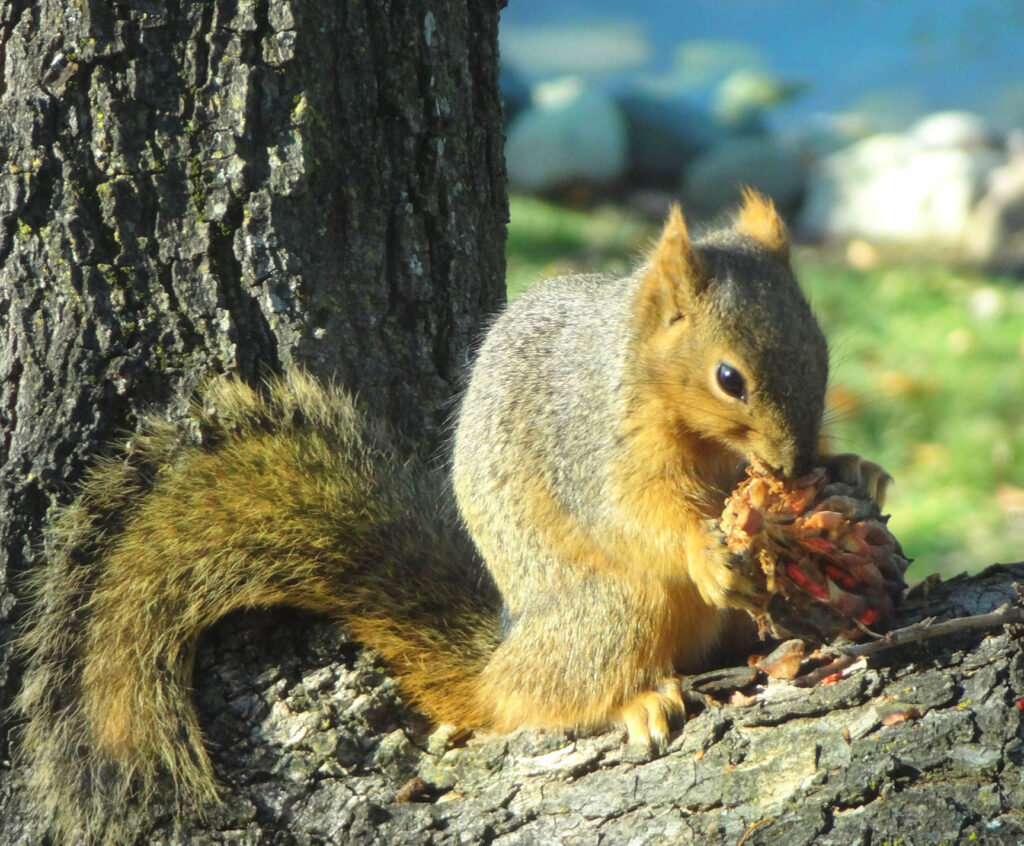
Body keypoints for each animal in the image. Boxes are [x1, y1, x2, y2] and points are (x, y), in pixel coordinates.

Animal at [12, 187, 888, 839]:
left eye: (822, 350)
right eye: (728, 377)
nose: (793, 467)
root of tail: (498, 659)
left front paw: (858, 472)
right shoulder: (593, 448)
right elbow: (635, 517)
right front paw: (709, 551)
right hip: (614, 609)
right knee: (546, 697)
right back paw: (636, 700)